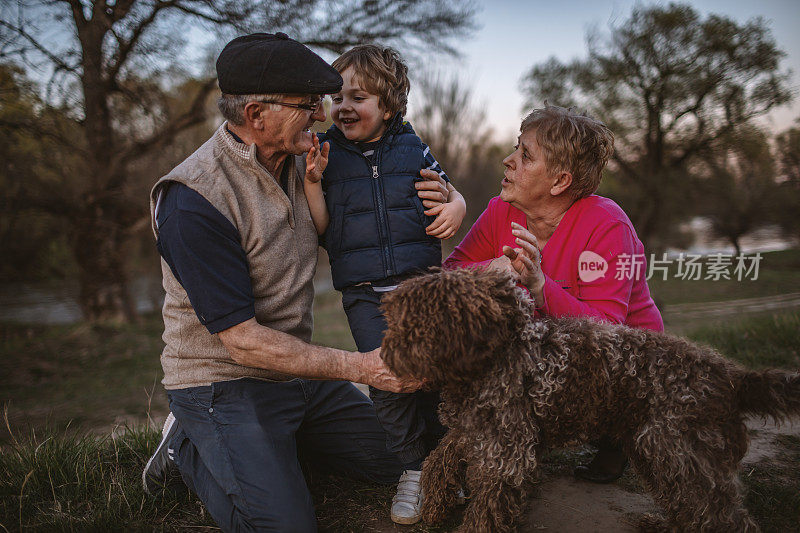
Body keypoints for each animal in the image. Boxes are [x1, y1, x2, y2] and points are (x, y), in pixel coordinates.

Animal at [380, 270, 800, 532]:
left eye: (417, 321)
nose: (385, 354)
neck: (494, 353)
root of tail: (730, 375)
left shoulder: (507, 451)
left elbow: (487, 506)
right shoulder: (475, 430)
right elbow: (438, 458)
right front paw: (434, 504)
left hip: (684, 455)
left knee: (726, 519)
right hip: (660, 455)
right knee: (693, 509)